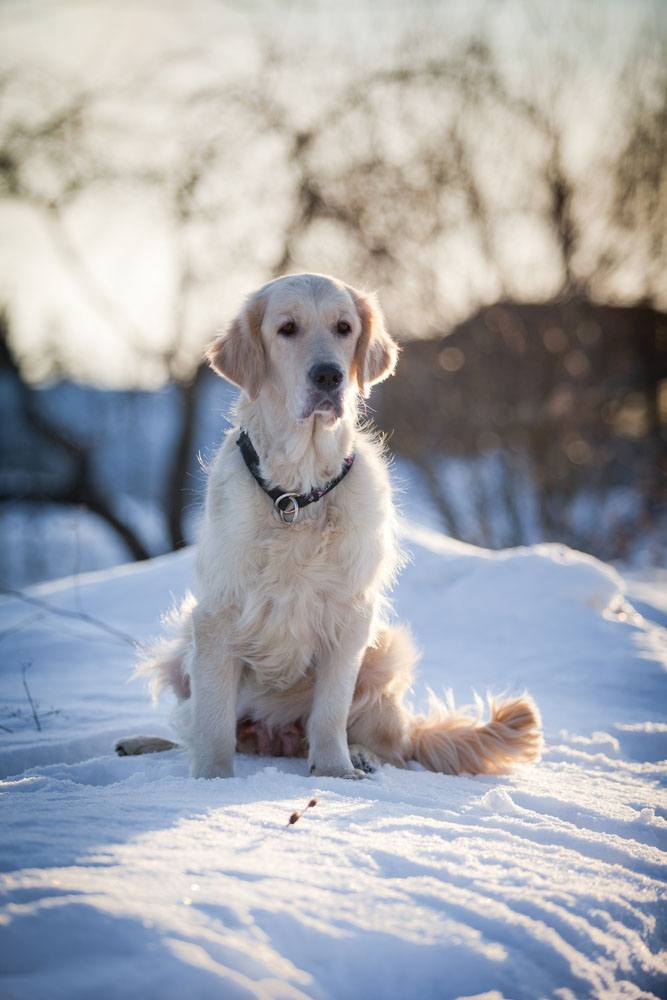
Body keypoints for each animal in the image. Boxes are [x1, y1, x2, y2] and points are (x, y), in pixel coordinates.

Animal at [116, 276, 544, 780]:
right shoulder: (218, 614)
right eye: (287, 328)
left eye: (344, 328)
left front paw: (336, 772)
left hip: (387, 650)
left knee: (394, 747)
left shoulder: (351, 615)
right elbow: (213, 719)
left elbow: (331, 710)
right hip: (183, 645)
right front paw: (212, 780)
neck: (295, 495)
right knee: (197, 724)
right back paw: (145, 743)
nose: (328, 376)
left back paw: (362, 755)